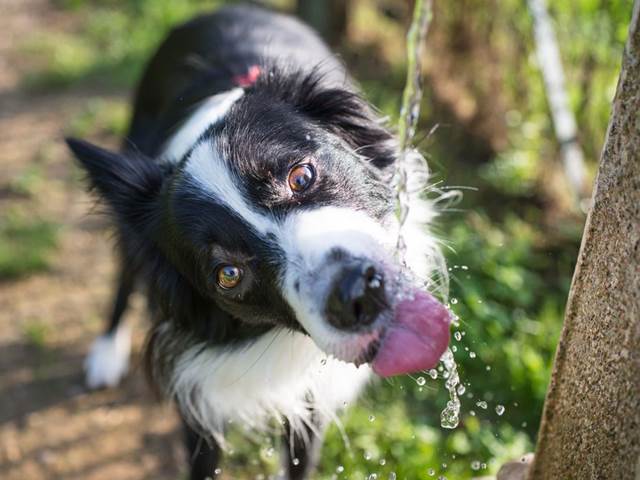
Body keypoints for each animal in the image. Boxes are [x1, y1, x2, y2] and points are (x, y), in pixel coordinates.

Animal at [66, 4, 450, 480]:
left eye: (301, 176)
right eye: (228, 274)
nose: (357, 295)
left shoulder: (311, 401)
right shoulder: (197, 397)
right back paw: (106, 352)